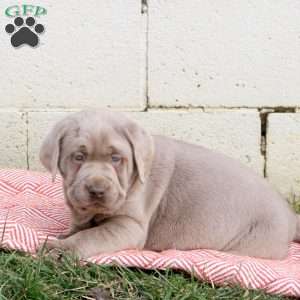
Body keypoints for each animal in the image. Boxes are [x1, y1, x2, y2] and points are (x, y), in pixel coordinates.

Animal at [39, 111, 300, 258]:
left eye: (116, 158)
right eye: (78, 157)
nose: (97, 190)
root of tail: (290, 216)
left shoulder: (129, 224)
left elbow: (93, 235)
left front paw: (63, 249)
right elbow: (80, 226)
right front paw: (66, 234)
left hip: (256, 241)